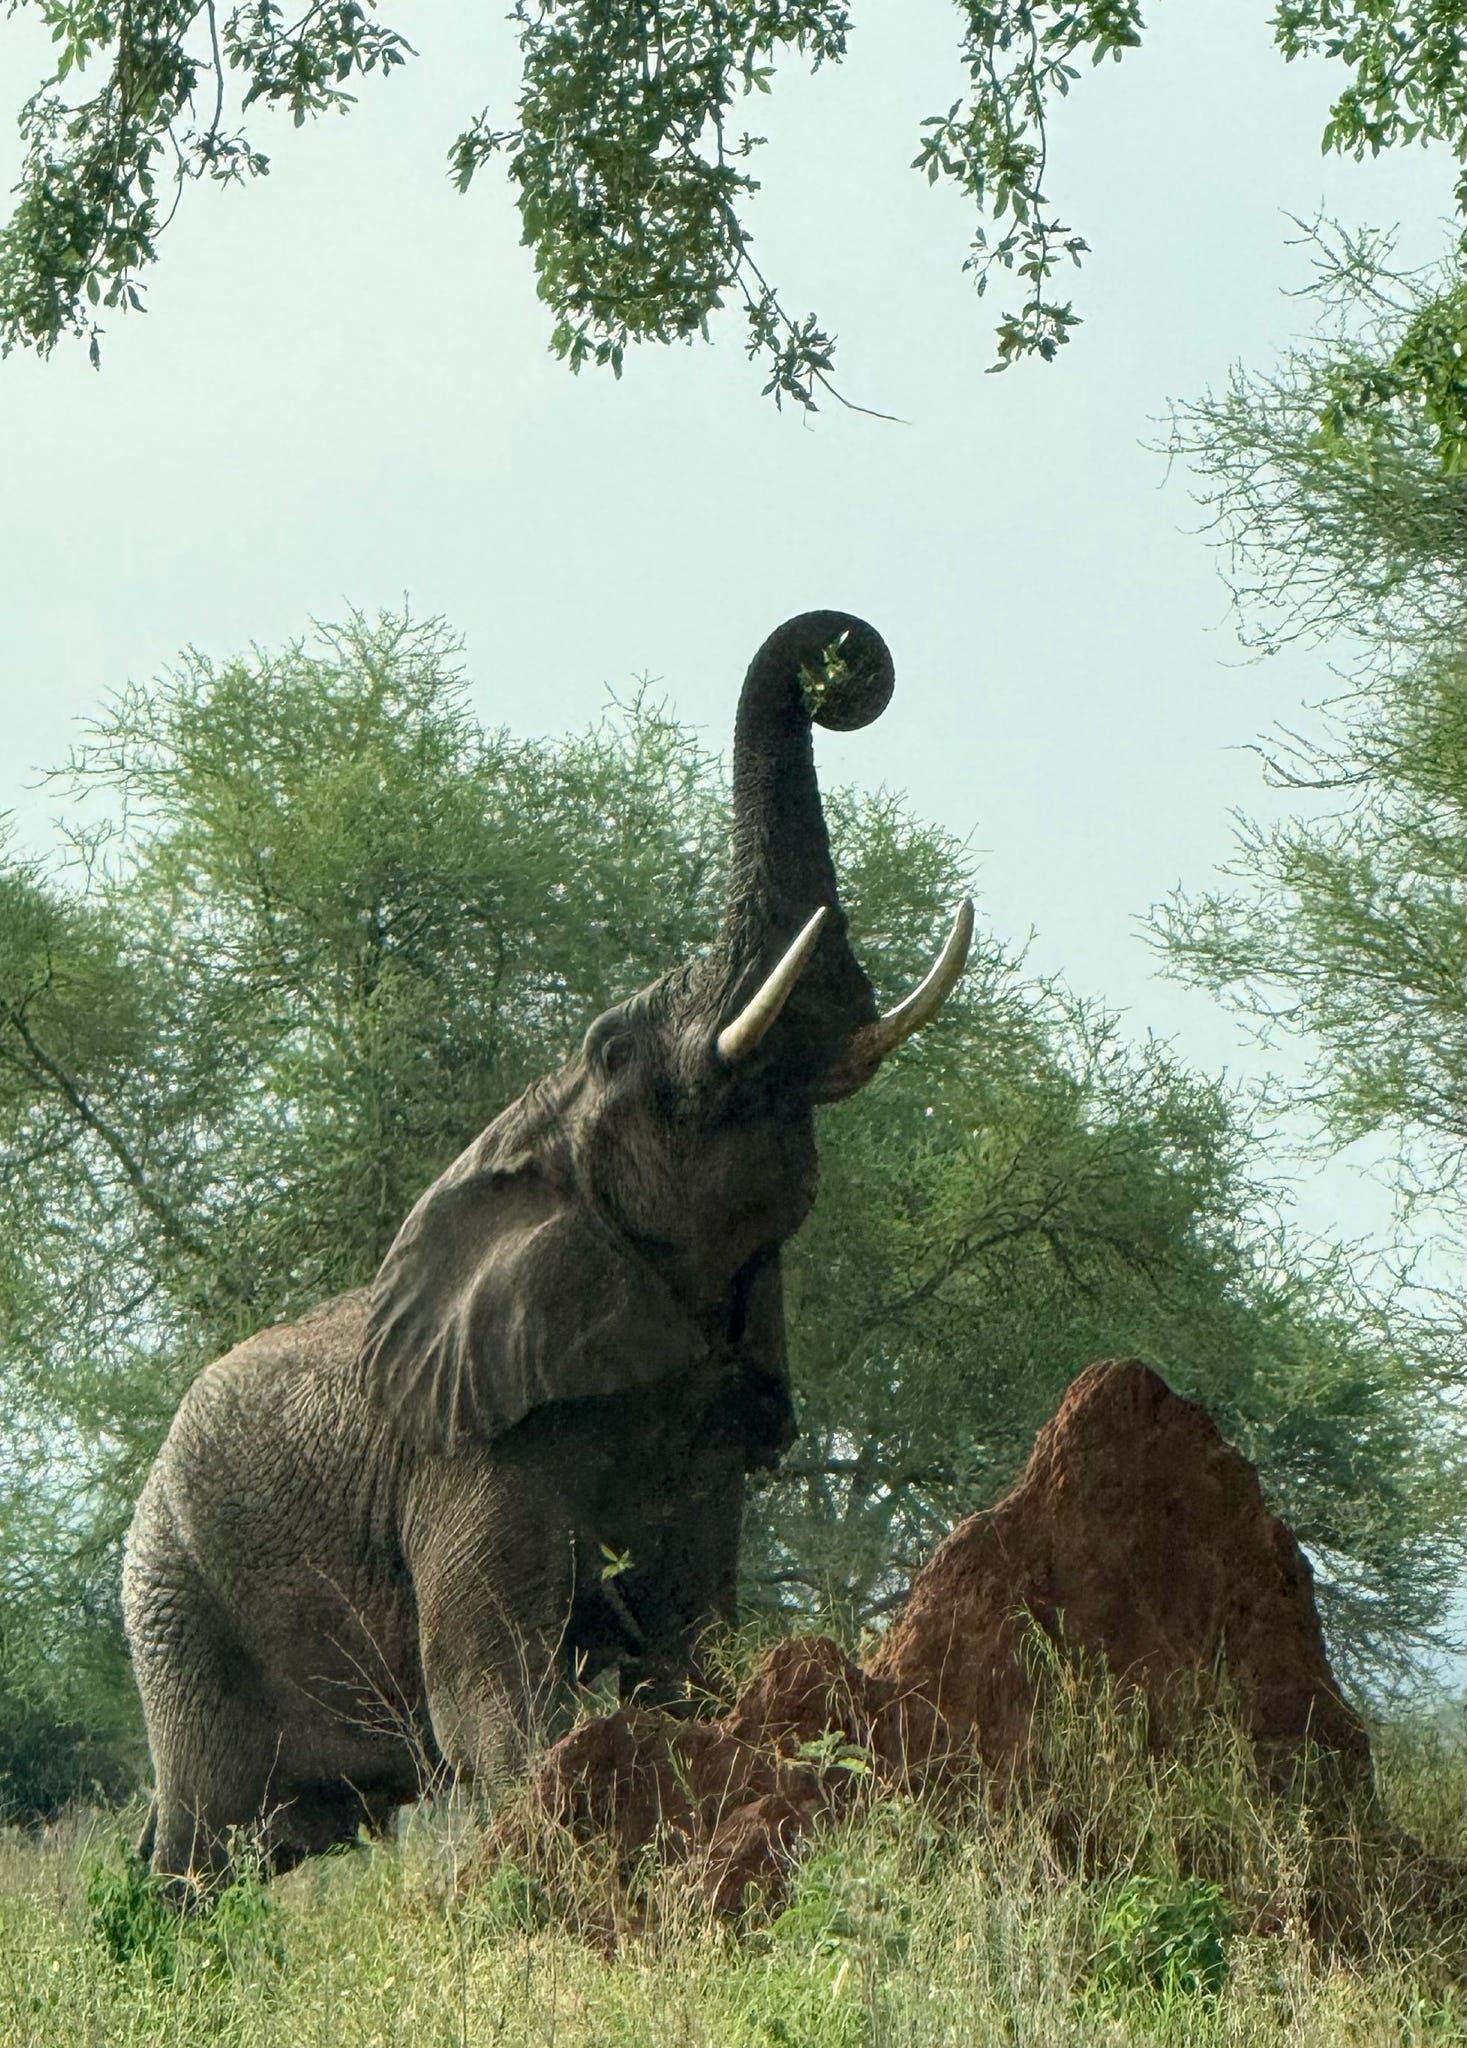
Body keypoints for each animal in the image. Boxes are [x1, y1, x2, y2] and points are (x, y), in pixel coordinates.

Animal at [122, 610, 972, 1890]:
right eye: (615, 1047)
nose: (838, 677)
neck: (526, 1149)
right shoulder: (466, 1454)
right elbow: (488, 1692)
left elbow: (692, 1643)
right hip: (174, 1596)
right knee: (204, 1845)